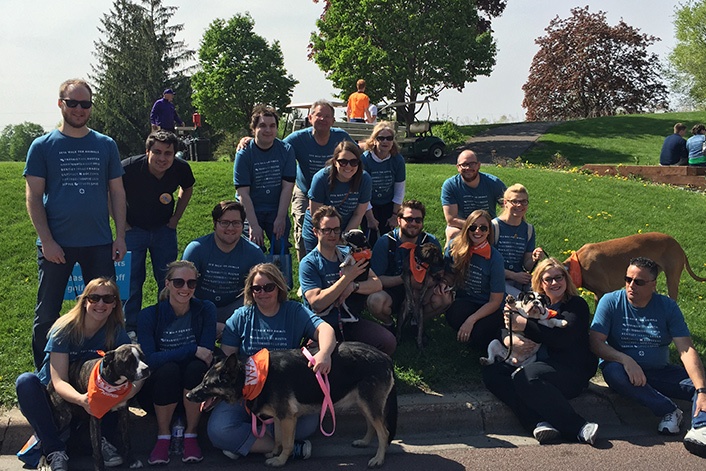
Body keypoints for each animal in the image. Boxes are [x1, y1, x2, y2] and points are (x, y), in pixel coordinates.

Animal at [48, 342, 151, 471]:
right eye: (128, 361)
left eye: (143, 357)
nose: (146, 369)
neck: (113, 384)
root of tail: (50, 383)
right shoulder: (95, 418)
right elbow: (97, 450)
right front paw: (99, 467)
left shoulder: (123, 413)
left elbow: (126, 439)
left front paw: (132, 460)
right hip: (64, 417)